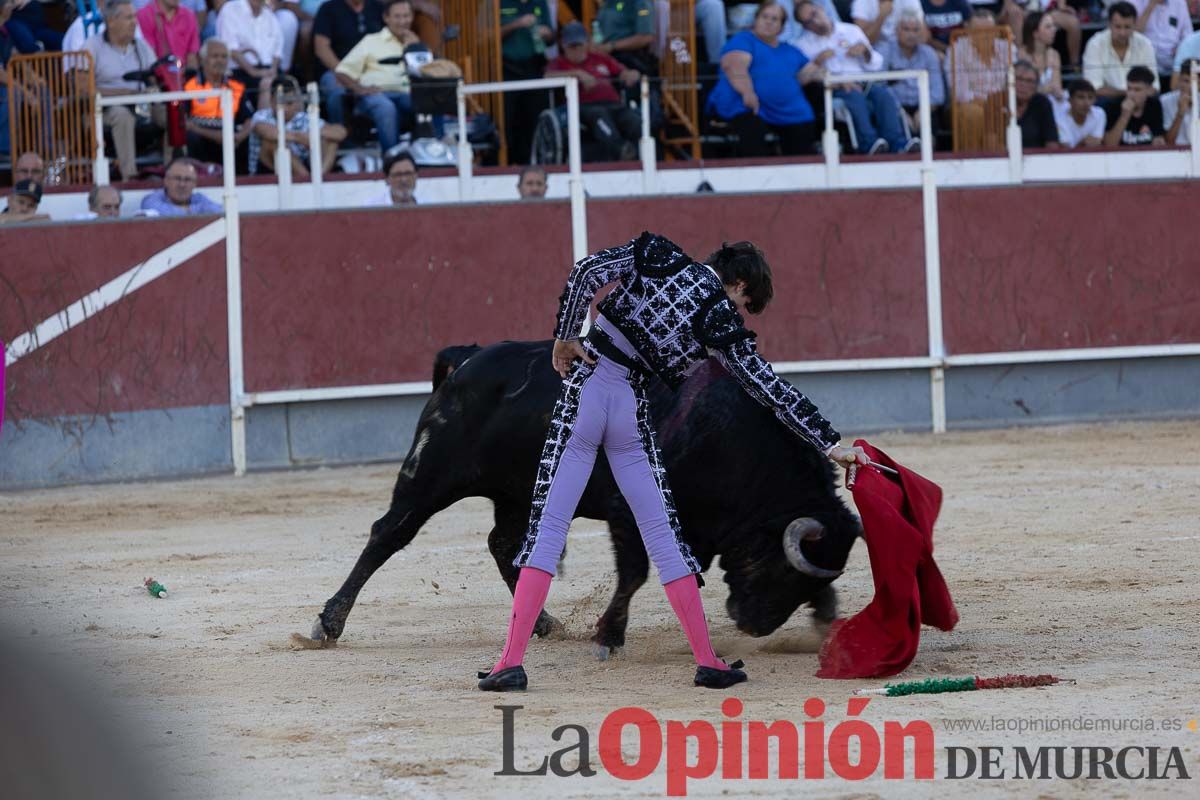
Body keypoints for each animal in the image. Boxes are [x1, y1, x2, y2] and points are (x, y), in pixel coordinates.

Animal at [307, 340, 854, 652]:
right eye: (781, 568)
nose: (754, 626)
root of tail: (465, 361)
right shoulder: (627, 511)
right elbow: (634, 573)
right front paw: (609, 635)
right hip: (430, 477)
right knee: (388, 534)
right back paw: (328, 624)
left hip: (518, 493)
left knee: (503, 546)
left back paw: (542, 623)